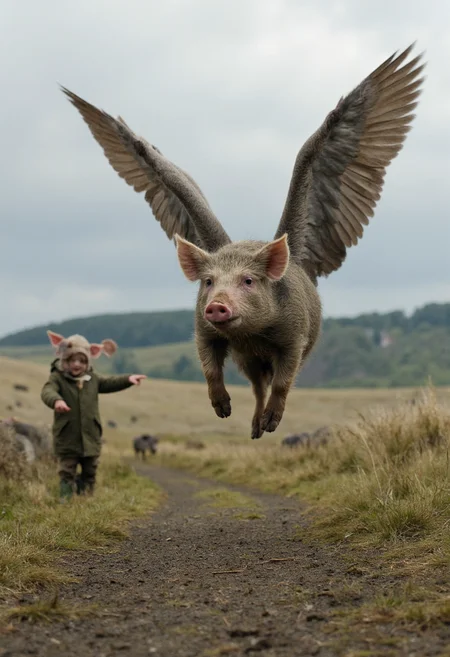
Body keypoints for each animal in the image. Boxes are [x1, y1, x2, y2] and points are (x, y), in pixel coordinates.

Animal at [62, 44, 424, 438]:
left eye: (248, 281)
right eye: (208, 282)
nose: (218, 304)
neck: (252, 335)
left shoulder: (294, 338)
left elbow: (284, 382)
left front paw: (272, 423)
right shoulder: (204, 330)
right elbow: (209, 366)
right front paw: (223, 411)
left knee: (269, 385)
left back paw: (263, 428)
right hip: (246, 361)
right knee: (255, 386)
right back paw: (251, 429)